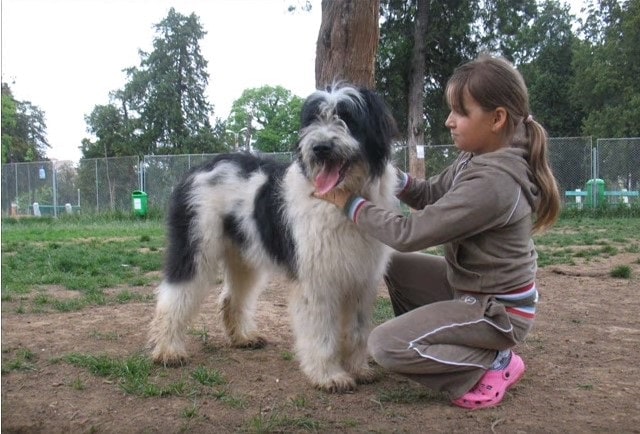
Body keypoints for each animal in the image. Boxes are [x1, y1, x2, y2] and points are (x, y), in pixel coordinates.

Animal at [151, 85, 400, 394]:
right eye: (314, 119)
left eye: (348, 117)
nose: (320, 147)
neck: (341, 201)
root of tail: (199, 167)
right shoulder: (317, 281)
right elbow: (322, 332)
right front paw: (329, 375)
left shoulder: (361, 279)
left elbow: (356, 330)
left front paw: (359, 369)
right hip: (194, 247)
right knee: (173, 297)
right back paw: (167, 350)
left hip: (243, 256)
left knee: (232, 297)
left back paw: (243, 338)